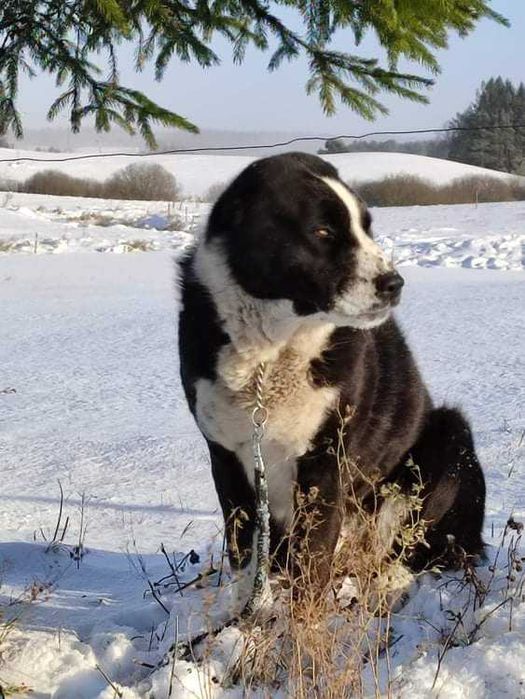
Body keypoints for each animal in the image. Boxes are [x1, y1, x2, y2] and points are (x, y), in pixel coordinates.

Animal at [178, 152, 486, 608]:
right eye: (322, 231)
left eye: (366, 226)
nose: (394, 283)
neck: (273, 352)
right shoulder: (227, 459)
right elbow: (244, 556)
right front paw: (244, 618)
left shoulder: (324, 464)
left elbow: (313, 565)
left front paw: (297, 626)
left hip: (448, 437)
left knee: (418, 548)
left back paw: (390, 582)